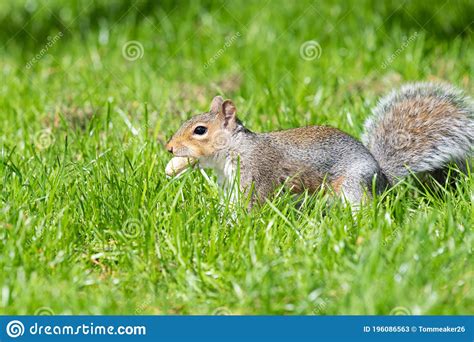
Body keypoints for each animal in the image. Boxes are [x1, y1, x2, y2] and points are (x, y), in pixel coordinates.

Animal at [165, 83, 472, 206]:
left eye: (200, 130)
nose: (169, 148)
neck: (236, 148)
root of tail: (383, 178)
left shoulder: (256, 174)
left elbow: (252, 203)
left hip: (353, 186)